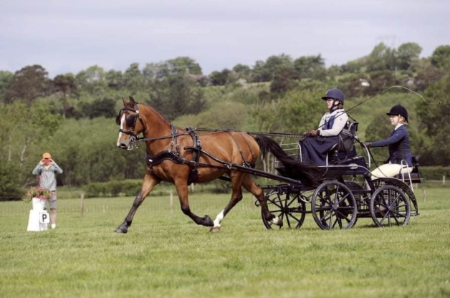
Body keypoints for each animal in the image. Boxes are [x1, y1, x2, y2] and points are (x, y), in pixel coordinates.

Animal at [114, 97, 284, 233]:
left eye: (130, 118)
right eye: (119, 118)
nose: (121, 143)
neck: (168, 143)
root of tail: (249, 136)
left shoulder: (180, 179)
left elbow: (185, 207)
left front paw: (205, 220)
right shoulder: (153, 176)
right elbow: (138, 199)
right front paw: (124, 225)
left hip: (236, 172)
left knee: (236, 196)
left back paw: (216, 222)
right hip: (242, 172)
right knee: (258, 192)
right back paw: (273, 218)